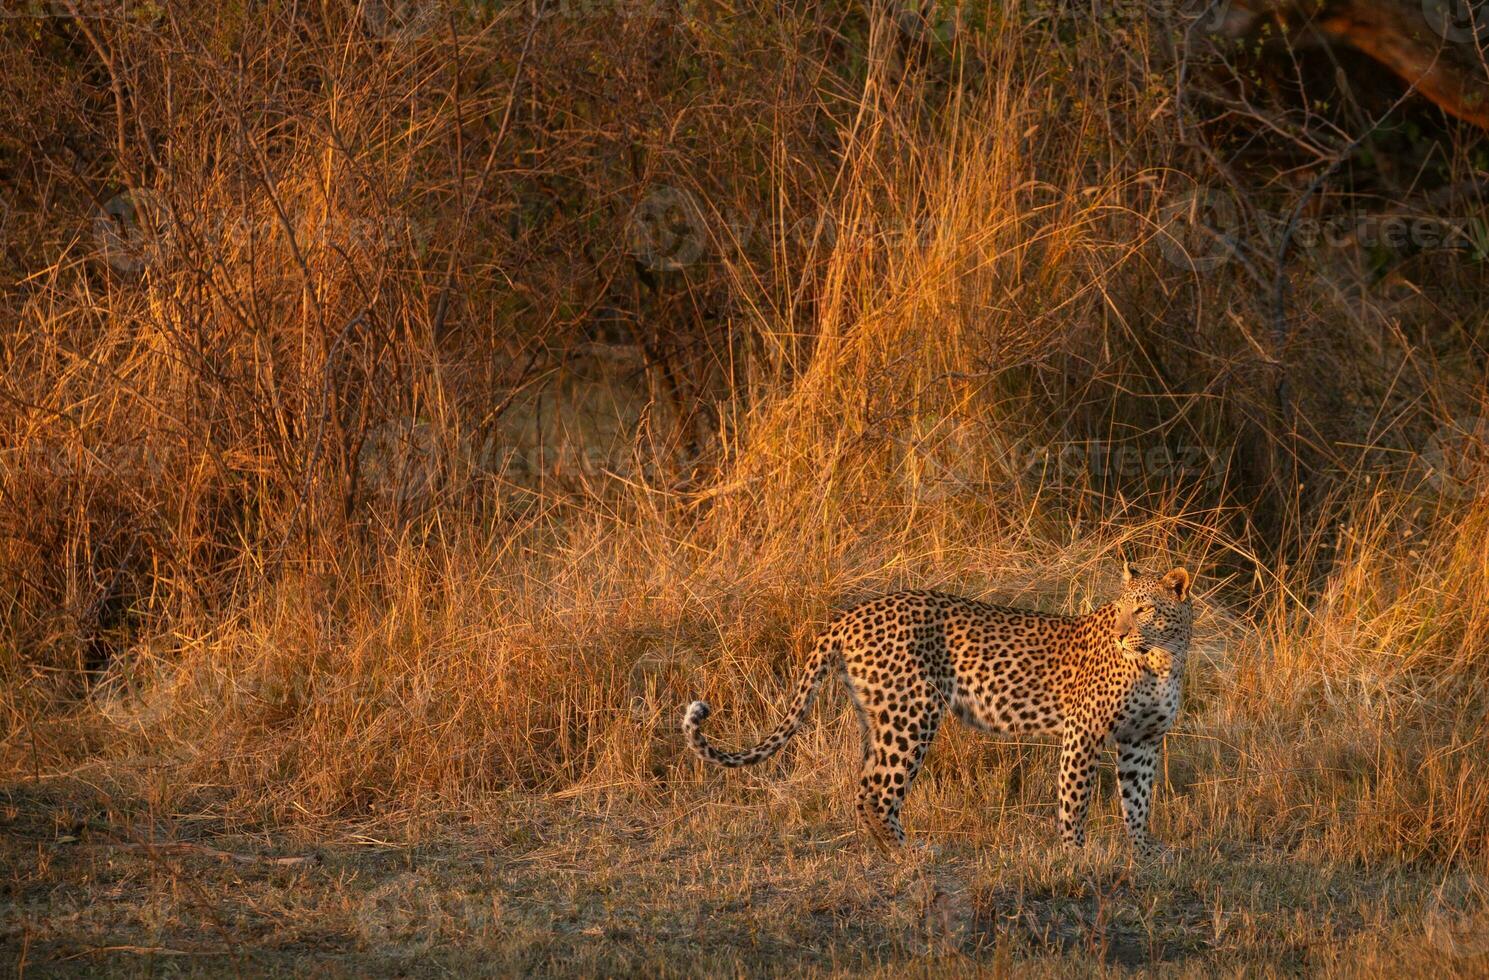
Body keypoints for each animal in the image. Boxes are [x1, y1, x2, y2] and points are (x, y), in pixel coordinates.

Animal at [684, 560, 1197, 851]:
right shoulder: (1084, 733)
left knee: (862, 788)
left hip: (879, 715)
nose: (1121, 634)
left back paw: (887, 852)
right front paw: (1077, 856)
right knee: (878, 791)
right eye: (1121, 608)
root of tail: (850, 614)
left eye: (1144, 609)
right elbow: (1075, 800)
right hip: (913, 711)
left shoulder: (1143, 740)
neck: (1163, 658)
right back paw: (910, 854)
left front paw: (1144, 854)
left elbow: (1138, 800)